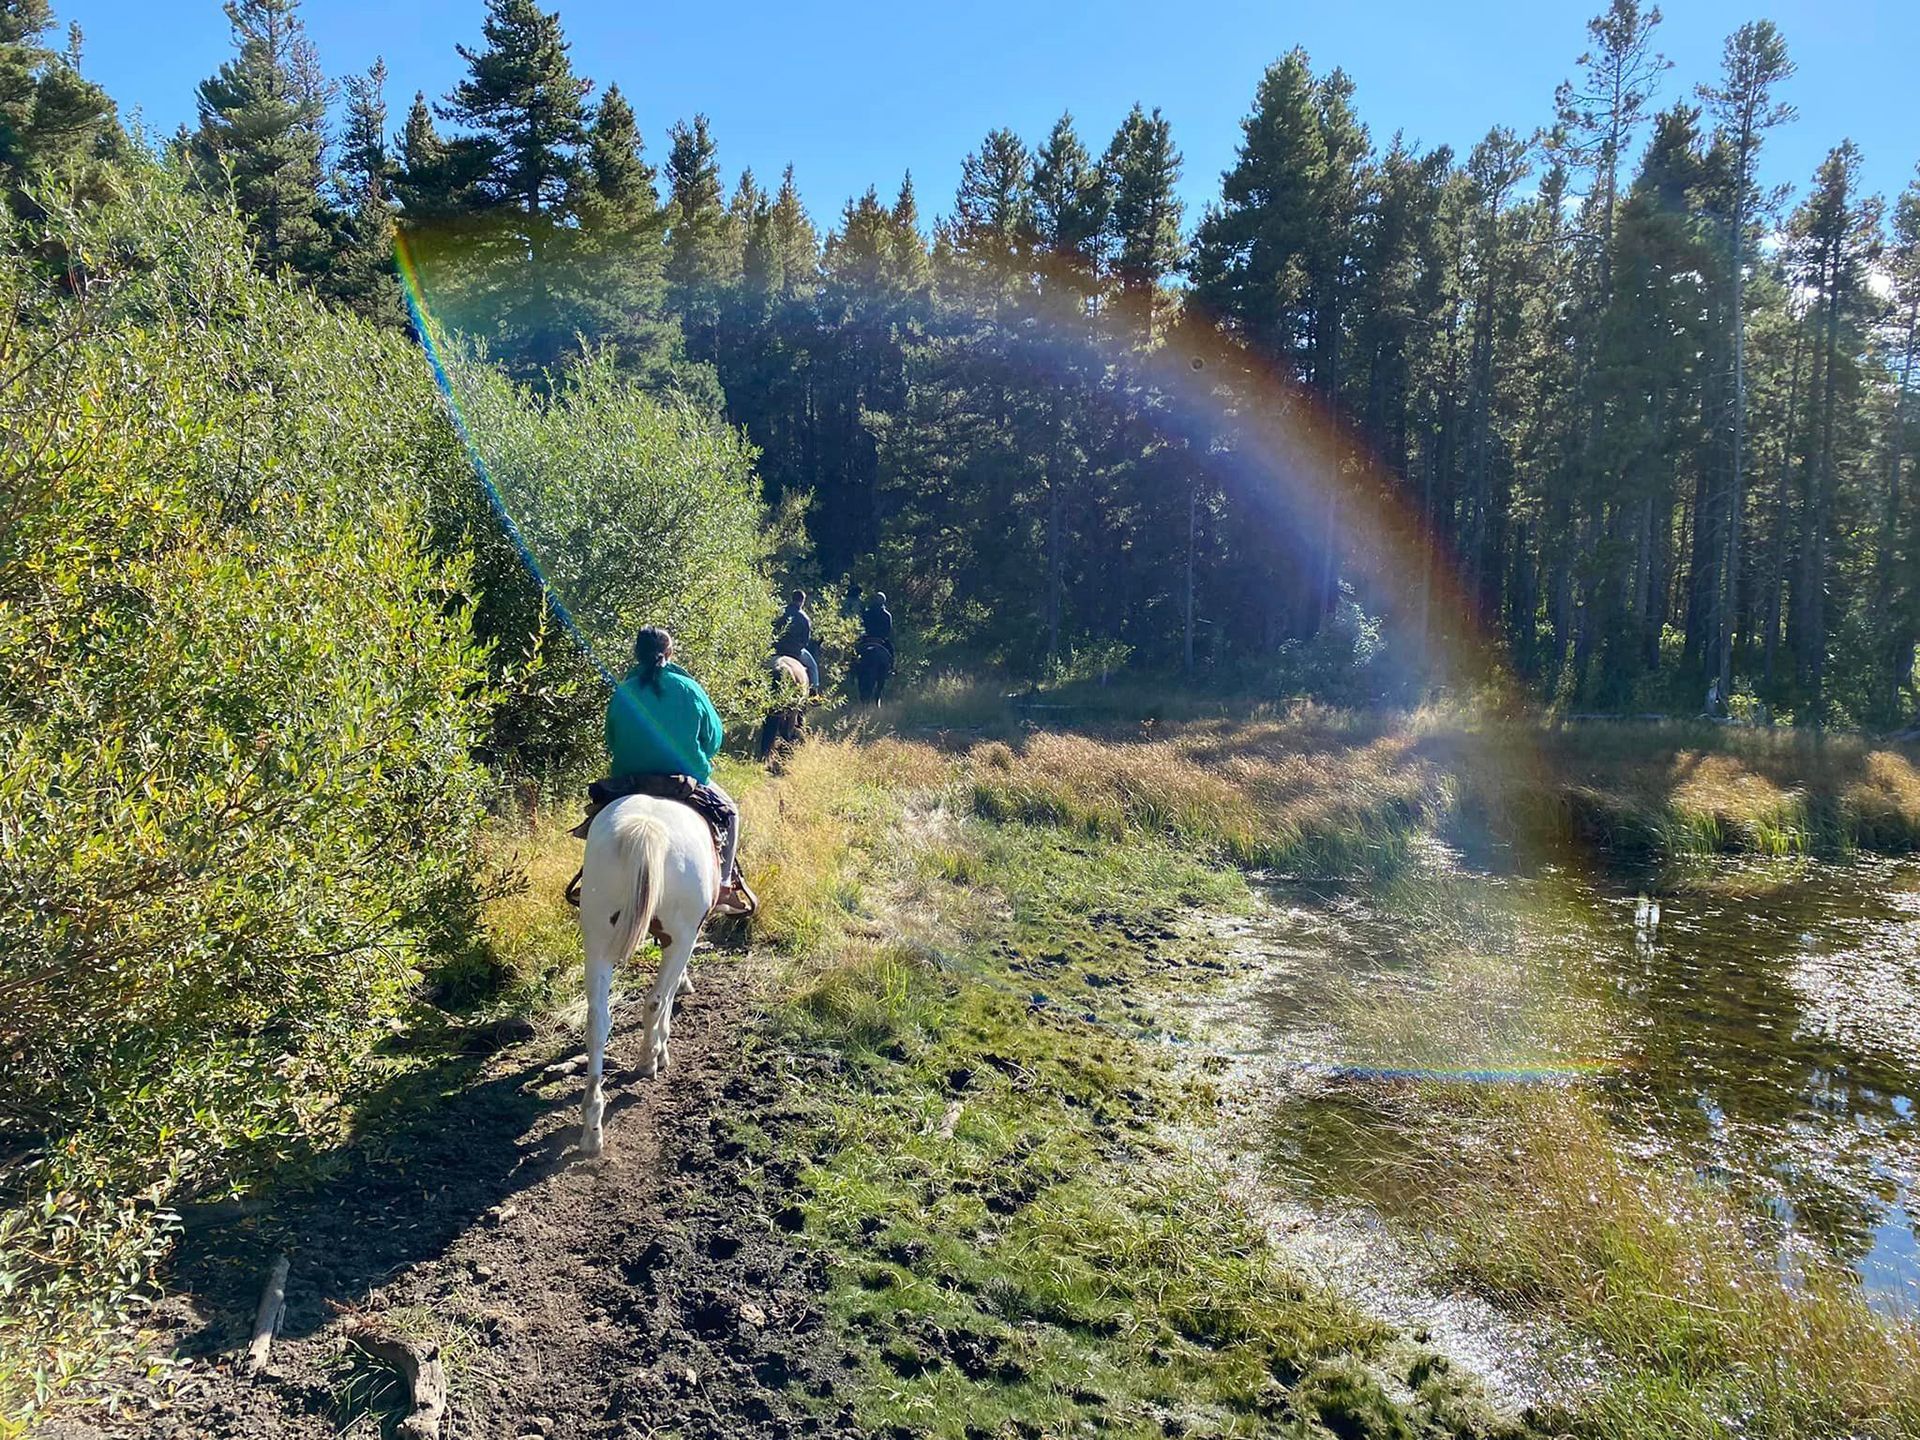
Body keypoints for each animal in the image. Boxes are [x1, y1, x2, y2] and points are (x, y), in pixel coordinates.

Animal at [577, 794, 721, 1157]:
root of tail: (646, 829)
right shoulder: (684, 940)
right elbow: (665, 1000)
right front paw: (661, 1050)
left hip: (596, 938)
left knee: (597, 1022)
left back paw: (592, 1128)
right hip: (680, 936)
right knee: (655, 1000)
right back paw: (647, 1061)